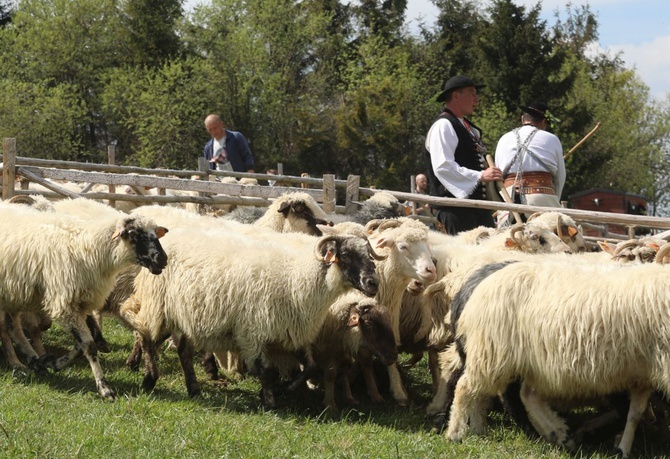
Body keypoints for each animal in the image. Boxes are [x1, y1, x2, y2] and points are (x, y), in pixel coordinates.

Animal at [0, 201, 169, 398]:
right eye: (134, 234)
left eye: (155, 234)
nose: (163, 260)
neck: (87, 248)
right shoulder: (65, 306)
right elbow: (89, 345)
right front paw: (105, 388)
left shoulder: (80, 305)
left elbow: (82, 345)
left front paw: (53, 363)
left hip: (14, 295)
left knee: (13, 327)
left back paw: (36, 362)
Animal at [444, 252, 670, 459]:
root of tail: (482, 284)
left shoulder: (642, 374)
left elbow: (634, 414)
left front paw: (623, 448)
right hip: (492, 352)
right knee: (466, 387)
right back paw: (456, 433)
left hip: (530, 363)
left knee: (525, 394)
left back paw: (556, 433)